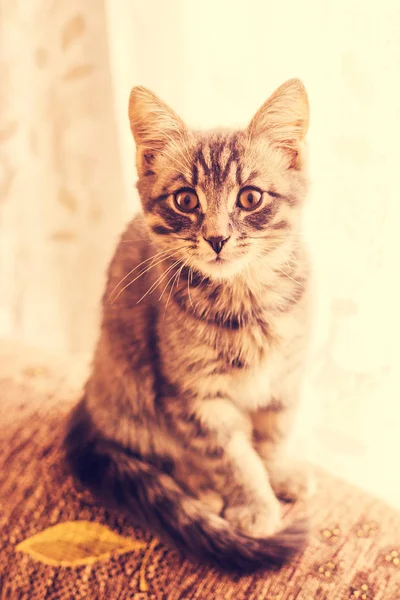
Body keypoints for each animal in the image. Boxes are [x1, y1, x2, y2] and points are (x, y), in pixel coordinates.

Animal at [65, 78, 312, 572]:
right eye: (185, 200)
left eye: (250, 197)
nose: (217, 238)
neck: (247, 301)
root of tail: (88, 403)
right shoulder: (193, 396)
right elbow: (233, 457)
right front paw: (255, 503)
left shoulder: (284, 379)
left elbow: (274, 434)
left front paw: (279, 473)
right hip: (130, 391)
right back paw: (203, 493)